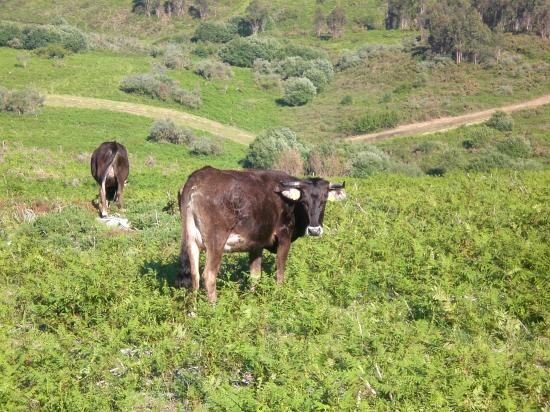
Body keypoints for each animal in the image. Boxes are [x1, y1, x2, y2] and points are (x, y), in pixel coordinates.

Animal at [179, 167, 348, 302]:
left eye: (324, 200)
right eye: (303, 200)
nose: (314, 230)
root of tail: (198, 177)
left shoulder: (256, 243)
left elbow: (255, 275)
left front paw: (252, 300)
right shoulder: (284, 237)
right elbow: (280, 273)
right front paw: (280, 297)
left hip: (191, 241)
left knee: (194, 276)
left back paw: (194, 311)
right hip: (216, 242)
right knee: (209, 275)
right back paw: (214, 307)